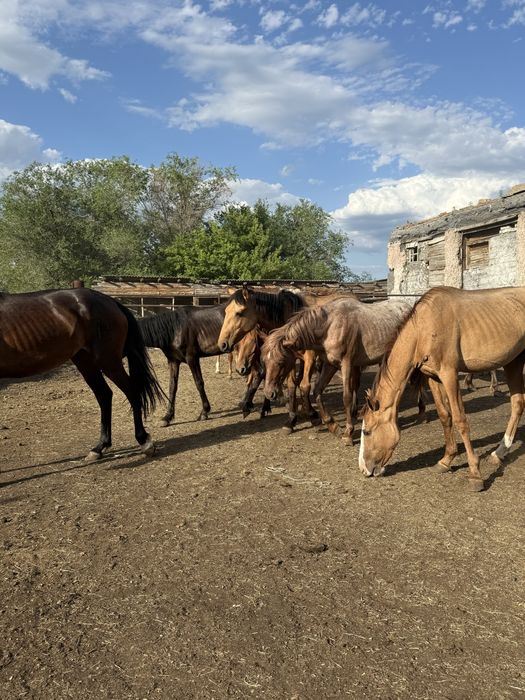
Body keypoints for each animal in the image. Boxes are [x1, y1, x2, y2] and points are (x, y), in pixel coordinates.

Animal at [0, 288, 163, 461]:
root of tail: (110, 301)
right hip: (86, 363)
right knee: (104, 395)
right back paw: (99, 447)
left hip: (109, 362)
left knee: (131, 391)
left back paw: (144, 442)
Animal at [262, 296, 423, 445]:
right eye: (265, 361)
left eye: (281, 362)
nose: (269, 393)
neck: (329, 326)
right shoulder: (330, 365)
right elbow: (317, 391)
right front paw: (332, 425)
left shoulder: (346, 364)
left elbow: (346, 397)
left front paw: (348, 433)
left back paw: (421, 411)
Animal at [358, 286, 525, 492]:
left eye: (367, 431)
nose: (363, 469)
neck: (424, 329)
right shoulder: (433, 377)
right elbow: (445, 416)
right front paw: (446, 460)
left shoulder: (449, 374)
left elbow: (460, 420)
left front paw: (475, 474)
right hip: (513, 361)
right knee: (517, 404)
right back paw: (500, 452)